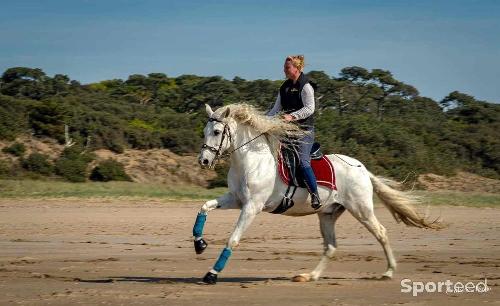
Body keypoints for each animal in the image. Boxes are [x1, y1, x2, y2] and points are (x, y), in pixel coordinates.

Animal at [193, 103, 444, 284]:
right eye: (204, 131)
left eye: (217, 131)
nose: (203, 161)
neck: (252, 161)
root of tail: (362, 168)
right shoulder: (236, 199)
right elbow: (204, 207)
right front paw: (199, 244)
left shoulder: (252, 206)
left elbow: (233, 239)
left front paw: (212, 274)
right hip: (328, 214)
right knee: (330, 247)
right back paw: (309, 276)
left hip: (361, 209)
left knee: (381, 233)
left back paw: (388, 272)